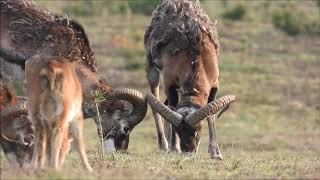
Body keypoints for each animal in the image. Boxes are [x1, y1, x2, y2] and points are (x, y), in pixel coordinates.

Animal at [145, 0, 235, 159]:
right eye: (178, 130)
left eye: (198, 130)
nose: (188, 151)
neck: (195, 58)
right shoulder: (169, 83)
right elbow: (171, 106)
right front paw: (174, 148)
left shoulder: (214, 84)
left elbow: (211, 115)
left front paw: (215, 153)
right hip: (152, 69)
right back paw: (164, 145)